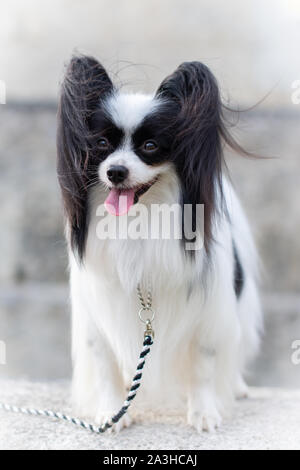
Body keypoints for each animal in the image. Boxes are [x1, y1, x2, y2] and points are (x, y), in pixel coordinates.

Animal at [56, 53, 262, 432]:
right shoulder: (99, 311)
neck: (139, 220)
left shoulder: (209, 310)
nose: (116, 172)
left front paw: (203, 413)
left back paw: (237, 387)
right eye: (101, 144)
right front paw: (112, 412)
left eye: (150, 147)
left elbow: (204, 363)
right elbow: (104, 363)